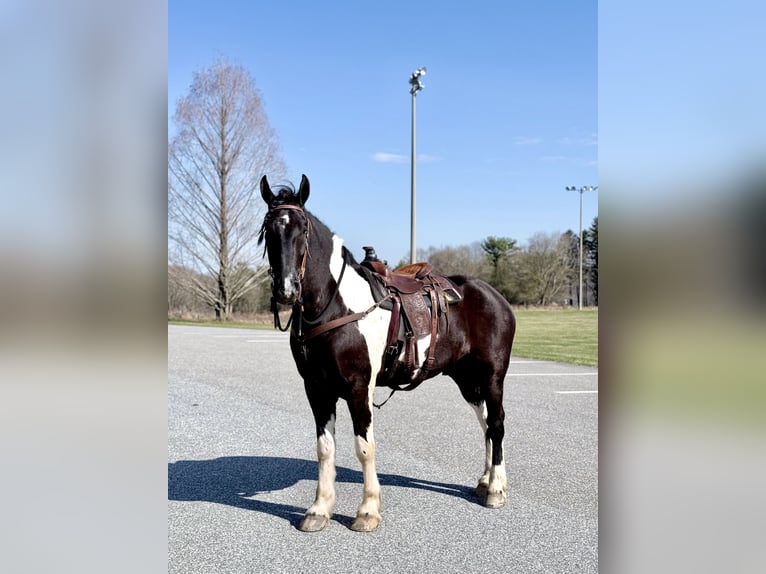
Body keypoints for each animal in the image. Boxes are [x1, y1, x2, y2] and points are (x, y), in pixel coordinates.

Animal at [258, 174, 516, 532]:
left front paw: (367, 511)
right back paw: (485, 480)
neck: (335, 307)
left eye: (303, 229)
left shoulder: (357, 388)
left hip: (492, 376)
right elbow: (325, 448)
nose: (286, 289)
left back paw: (496, 489)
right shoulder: (317, 389)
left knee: (498, 424)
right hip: (467, 379)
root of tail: (495, 296)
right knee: (487, 424)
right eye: (268, 229)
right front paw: (319, 510)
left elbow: (364, 448)